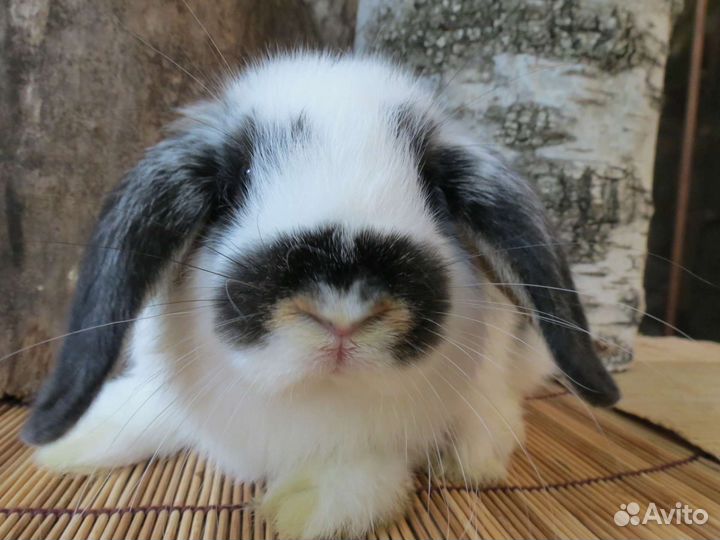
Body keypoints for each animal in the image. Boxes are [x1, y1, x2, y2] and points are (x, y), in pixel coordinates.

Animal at [22, 52, 619, 539]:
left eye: (434, 188)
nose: (342, 312)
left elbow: (367, 469)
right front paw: (71, 442)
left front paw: (308, 504)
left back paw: (473, 455)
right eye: (233, 184)